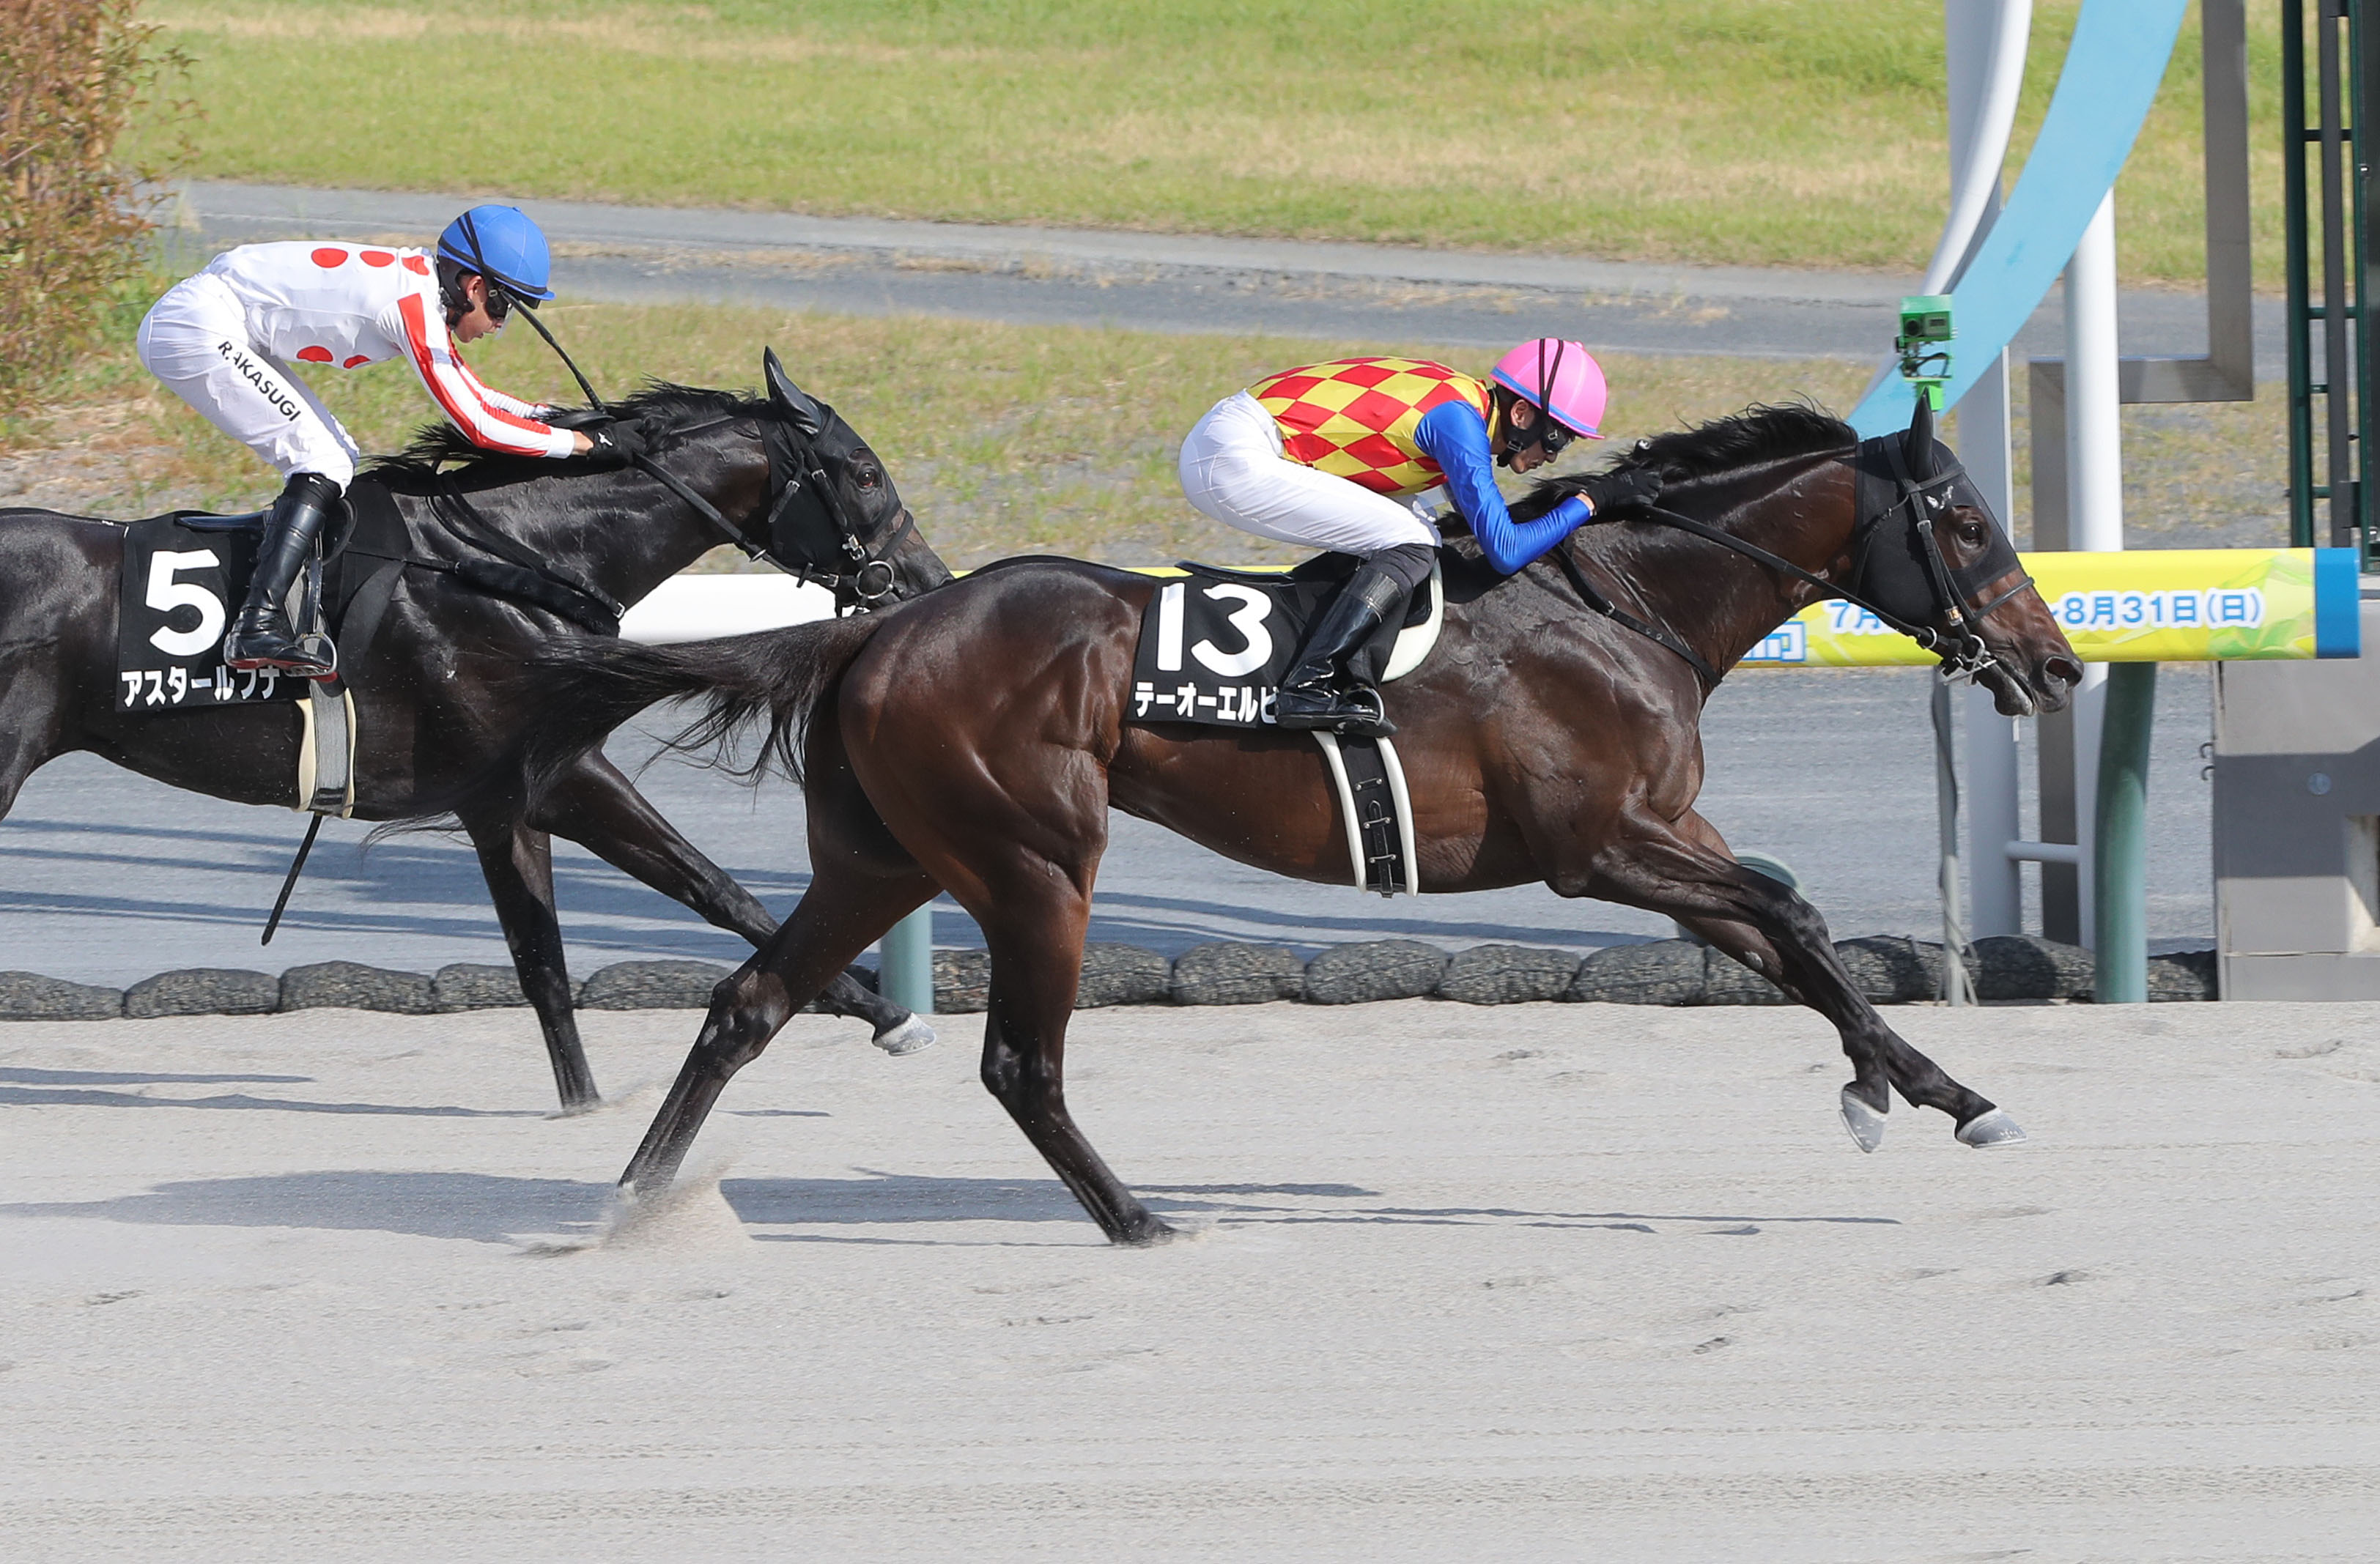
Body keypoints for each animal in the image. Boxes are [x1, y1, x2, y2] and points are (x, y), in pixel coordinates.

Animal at [0, 350, 951, 1111]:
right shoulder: (557, 776)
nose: (926, 579)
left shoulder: (503, 800)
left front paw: (583, 1103)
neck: (514, 563)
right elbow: (718, 891)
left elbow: (554, 960)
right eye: (864, 472)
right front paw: (892, 1013)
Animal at [512, 398, 2083, 1240]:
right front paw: (1901, 1091)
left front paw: (1929, 1093)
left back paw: (624, 1208)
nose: (2057, 664)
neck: (1622, 606)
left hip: (887, 854)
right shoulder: (1596, 851)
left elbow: (1793, 940)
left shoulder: (1662, 839)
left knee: (746, 1004)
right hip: (1032, 860)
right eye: (1964, 525)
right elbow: (1793, 915)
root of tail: (875, 630)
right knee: (1019, 1061)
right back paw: (1140, 1220)